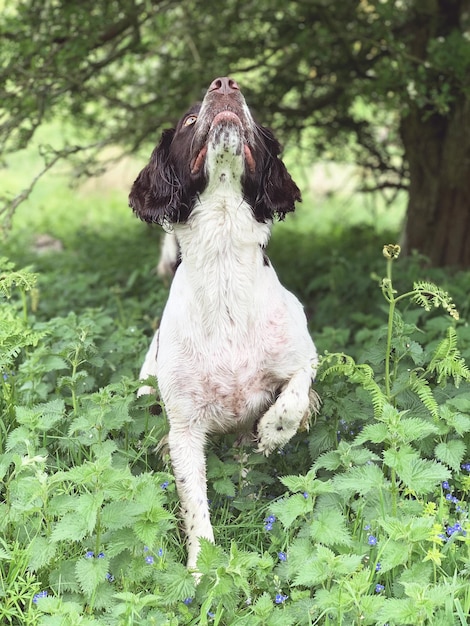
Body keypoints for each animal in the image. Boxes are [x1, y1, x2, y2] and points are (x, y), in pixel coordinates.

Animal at [130, 77, 318, 572]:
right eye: (190, 120)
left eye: (254, 118)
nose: (225, 83)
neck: (223, 263)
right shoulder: (184, 427)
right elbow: (195, 507)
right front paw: (202, 573)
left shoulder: (305, 356)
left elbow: (294, 396)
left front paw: (273, 433)